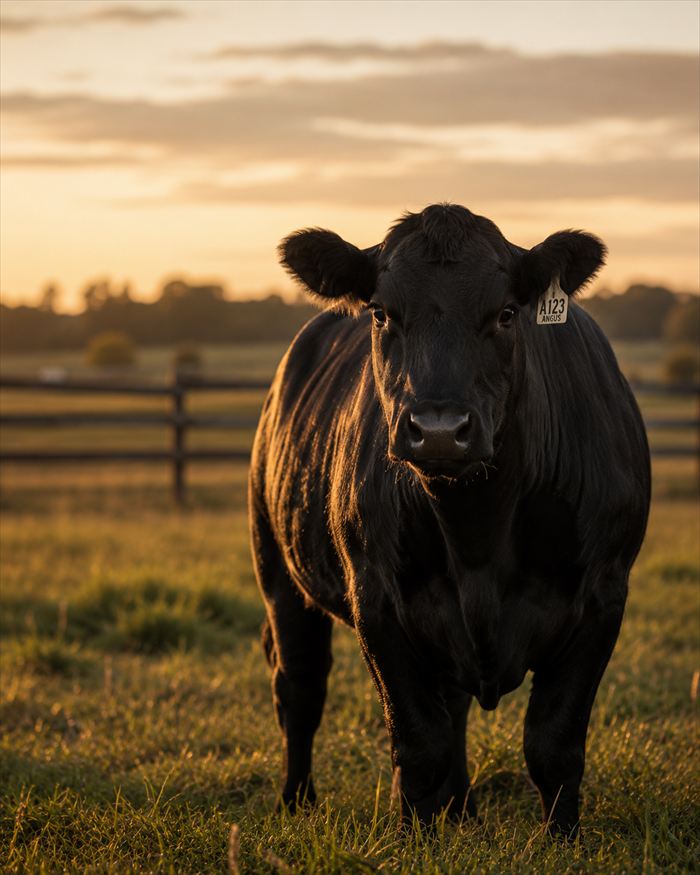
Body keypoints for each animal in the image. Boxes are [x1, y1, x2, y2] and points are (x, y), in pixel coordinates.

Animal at [248, 203, 650, 837]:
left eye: (507, 313)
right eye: (382, 313)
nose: (438, 429)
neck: (478, 534)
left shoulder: (603, 595)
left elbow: (554, 745)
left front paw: (562, 841)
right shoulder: (377, 599)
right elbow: (418, 743)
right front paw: (413, 838)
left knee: (451, 704)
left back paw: (460, 811)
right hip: (278, 570)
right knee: (300, 689)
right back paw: (298, 802)